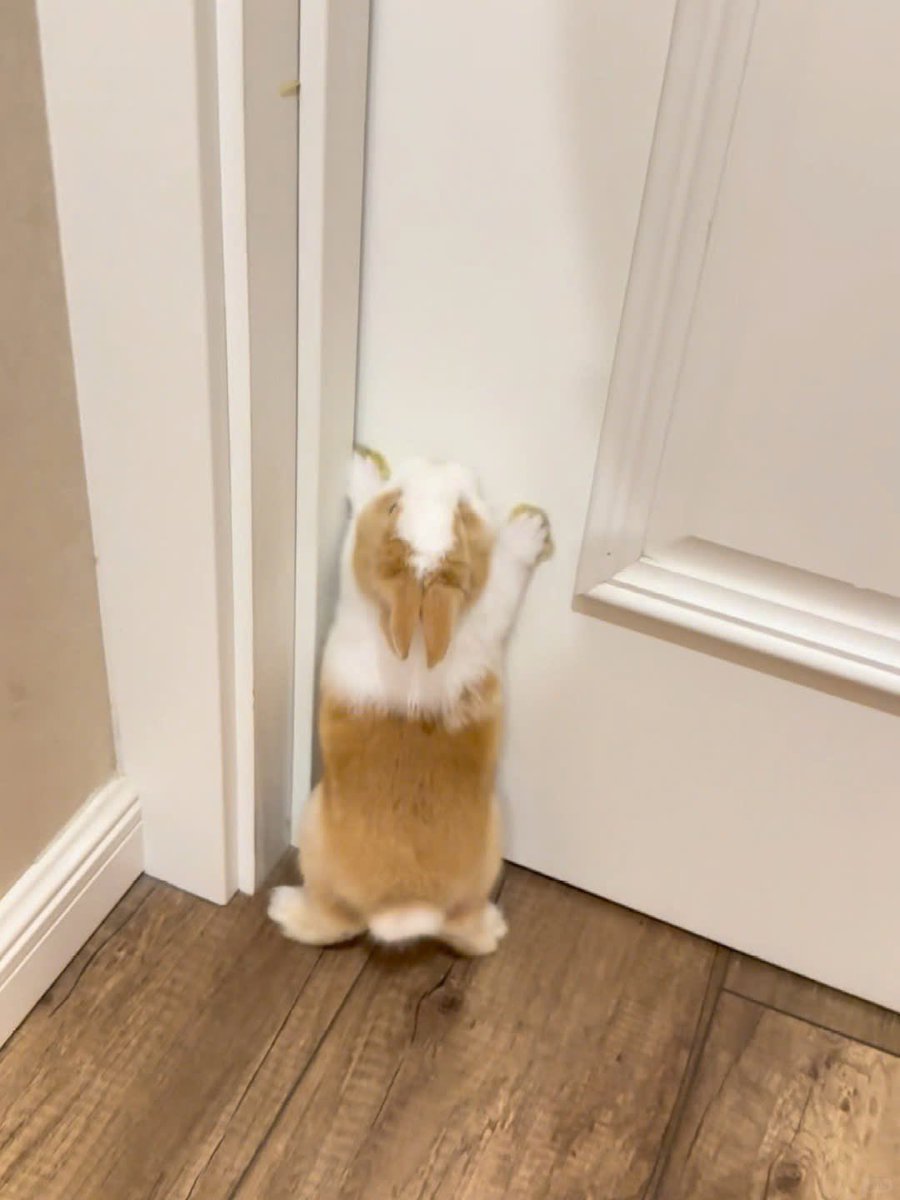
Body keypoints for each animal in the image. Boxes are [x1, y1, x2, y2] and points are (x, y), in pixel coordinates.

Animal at [268, 448, 552, 955]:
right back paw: (492, 928)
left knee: (333, 920)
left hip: (313, 826)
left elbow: (504, 572)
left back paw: (284, 908)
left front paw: (528, 530)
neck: (419, 617)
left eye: (463, 515)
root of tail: (404, 907)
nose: (442, 461)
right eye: (395, 505)